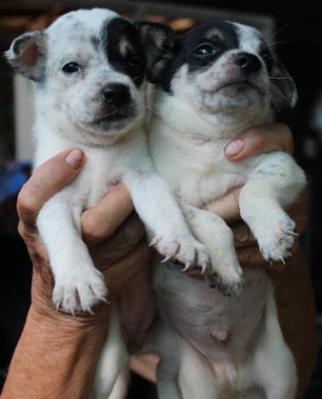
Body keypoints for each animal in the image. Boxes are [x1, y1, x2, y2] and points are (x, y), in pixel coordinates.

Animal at [6, 9, 211, 399]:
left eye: (133, 63)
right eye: (71, 68)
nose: (116, 90)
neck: (97, 149)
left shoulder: (143, 178)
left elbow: (165, 207)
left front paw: (184, 240)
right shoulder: (53, 200)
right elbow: (66, 238)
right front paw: (77, 281)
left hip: (144, 361)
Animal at [144, 20, 306, 398]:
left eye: (265, 58)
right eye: (205, 49)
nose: (249, 60)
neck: (213, 141)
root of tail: (234, 378)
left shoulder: (285, 167)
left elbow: (252, 191)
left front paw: (273, 234)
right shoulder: (168, 196)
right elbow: (210, 220)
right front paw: (227, 270)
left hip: (281, 376)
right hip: (192, 384)